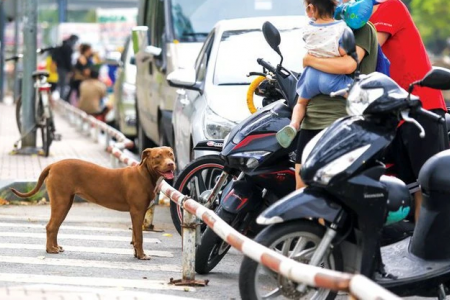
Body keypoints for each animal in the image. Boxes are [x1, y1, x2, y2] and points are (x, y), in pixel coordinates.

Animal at [10, 146, 176, 258]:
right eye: (158, 156)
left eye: (171, 154)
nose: (171, 164)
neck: (145, 174)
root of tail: (53, 165)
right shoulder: (137, 211)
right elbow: (139, 238)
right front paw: (141, 256)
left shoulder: (137, 214)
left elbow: (135, 236)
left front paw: (137, 254)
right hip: (61, 202)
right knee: (51, 226)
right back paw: (51, 250)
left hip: (65, 203)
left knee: (55, 227)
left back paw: (55, 247)